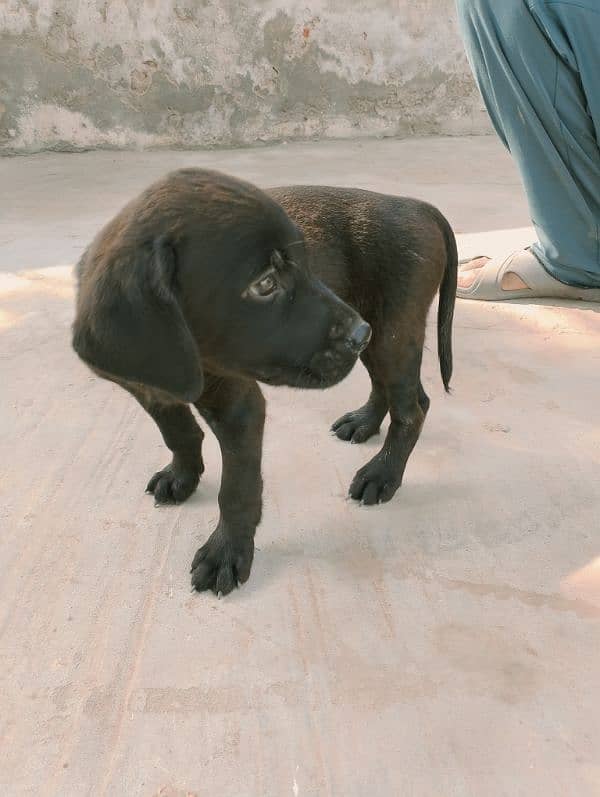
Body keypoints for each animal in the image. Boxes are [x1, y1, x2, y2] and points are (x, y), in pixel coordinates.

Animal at [72, 166, 458, 592]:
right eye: (265, 283)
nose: (358, 333)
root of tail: (415, 204)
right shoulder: (148, 391)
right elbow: (178, 433)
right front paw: (183, 475)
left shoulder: (239, 406)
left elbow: (236, 489)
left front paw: (226, 552)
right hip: (379, 333)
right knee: (392, 390)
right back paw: (363, 423)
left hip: (391, 331)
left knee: (412, 409)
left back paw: (382, 474)